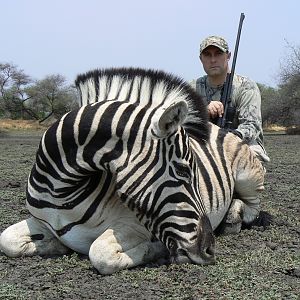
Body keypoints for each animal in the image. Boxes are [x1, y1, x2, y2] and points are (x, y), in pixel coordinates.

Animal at [0, 68, 264, 274]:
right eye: (183, 170)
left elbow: (100, 254)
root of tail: (220, 128)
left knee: (252, 207)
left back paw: (232, 218)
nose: (210, 249)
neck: (60, 191)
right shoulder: (42, 222)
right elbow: (7, 240)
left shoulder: (134, 224)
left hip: (248, 177)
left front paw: (156, 249)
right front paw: (58, 246)